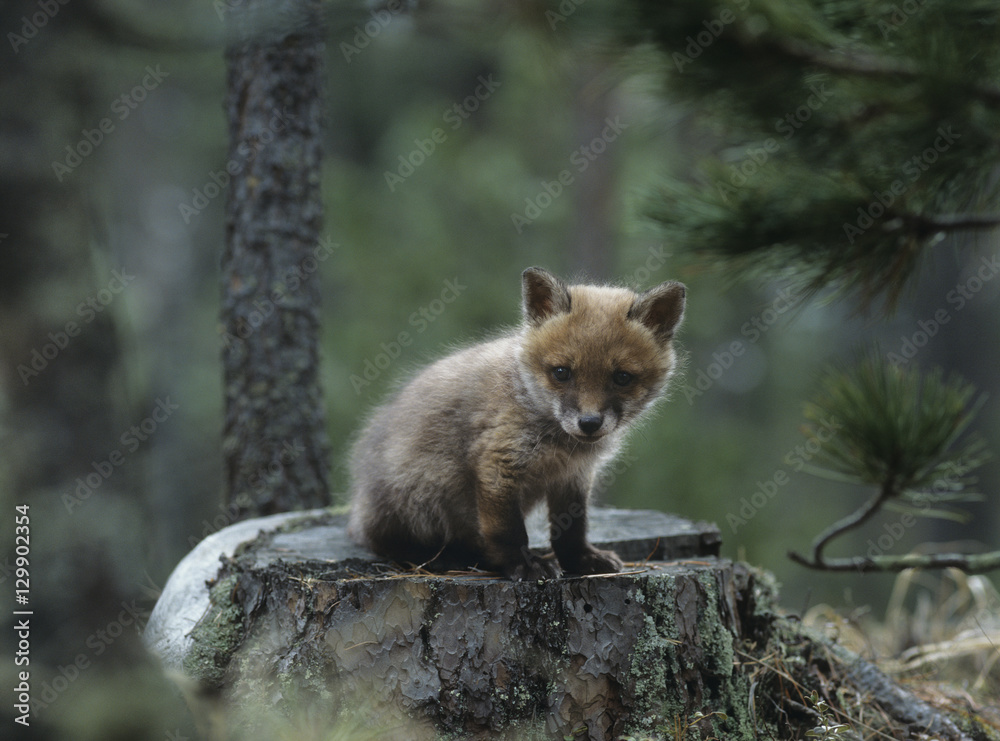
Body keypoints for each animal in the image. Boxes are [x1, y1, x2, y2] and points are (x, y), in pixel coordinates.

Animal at [348, 267, 686, 580]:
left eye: (622, 378)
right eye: (562, 372)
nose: (589, 422)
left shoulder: (573, 475)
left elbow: (572, 529)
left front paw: (580, 560)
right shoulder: (499, 462)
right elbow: (509, 532)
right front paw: (524, 565)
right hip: (420, 494)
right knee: (384, 542)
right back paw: (448, 557)